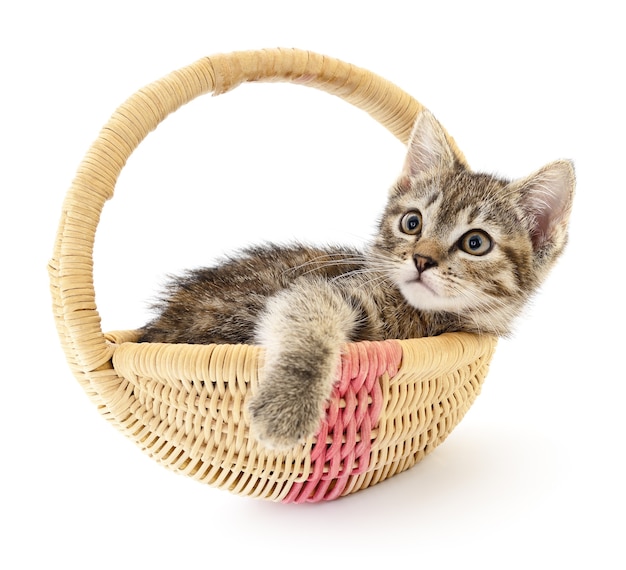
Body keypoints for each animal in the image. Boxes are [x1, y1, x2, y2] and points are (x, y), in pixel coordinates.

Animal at [139, 110, 572, 448]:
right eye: (412, 222)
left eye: (476, 243)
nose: (422, 259)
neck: (423, 317)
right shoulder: (322, 289)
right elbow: (309, 325)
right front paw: (287, 407)